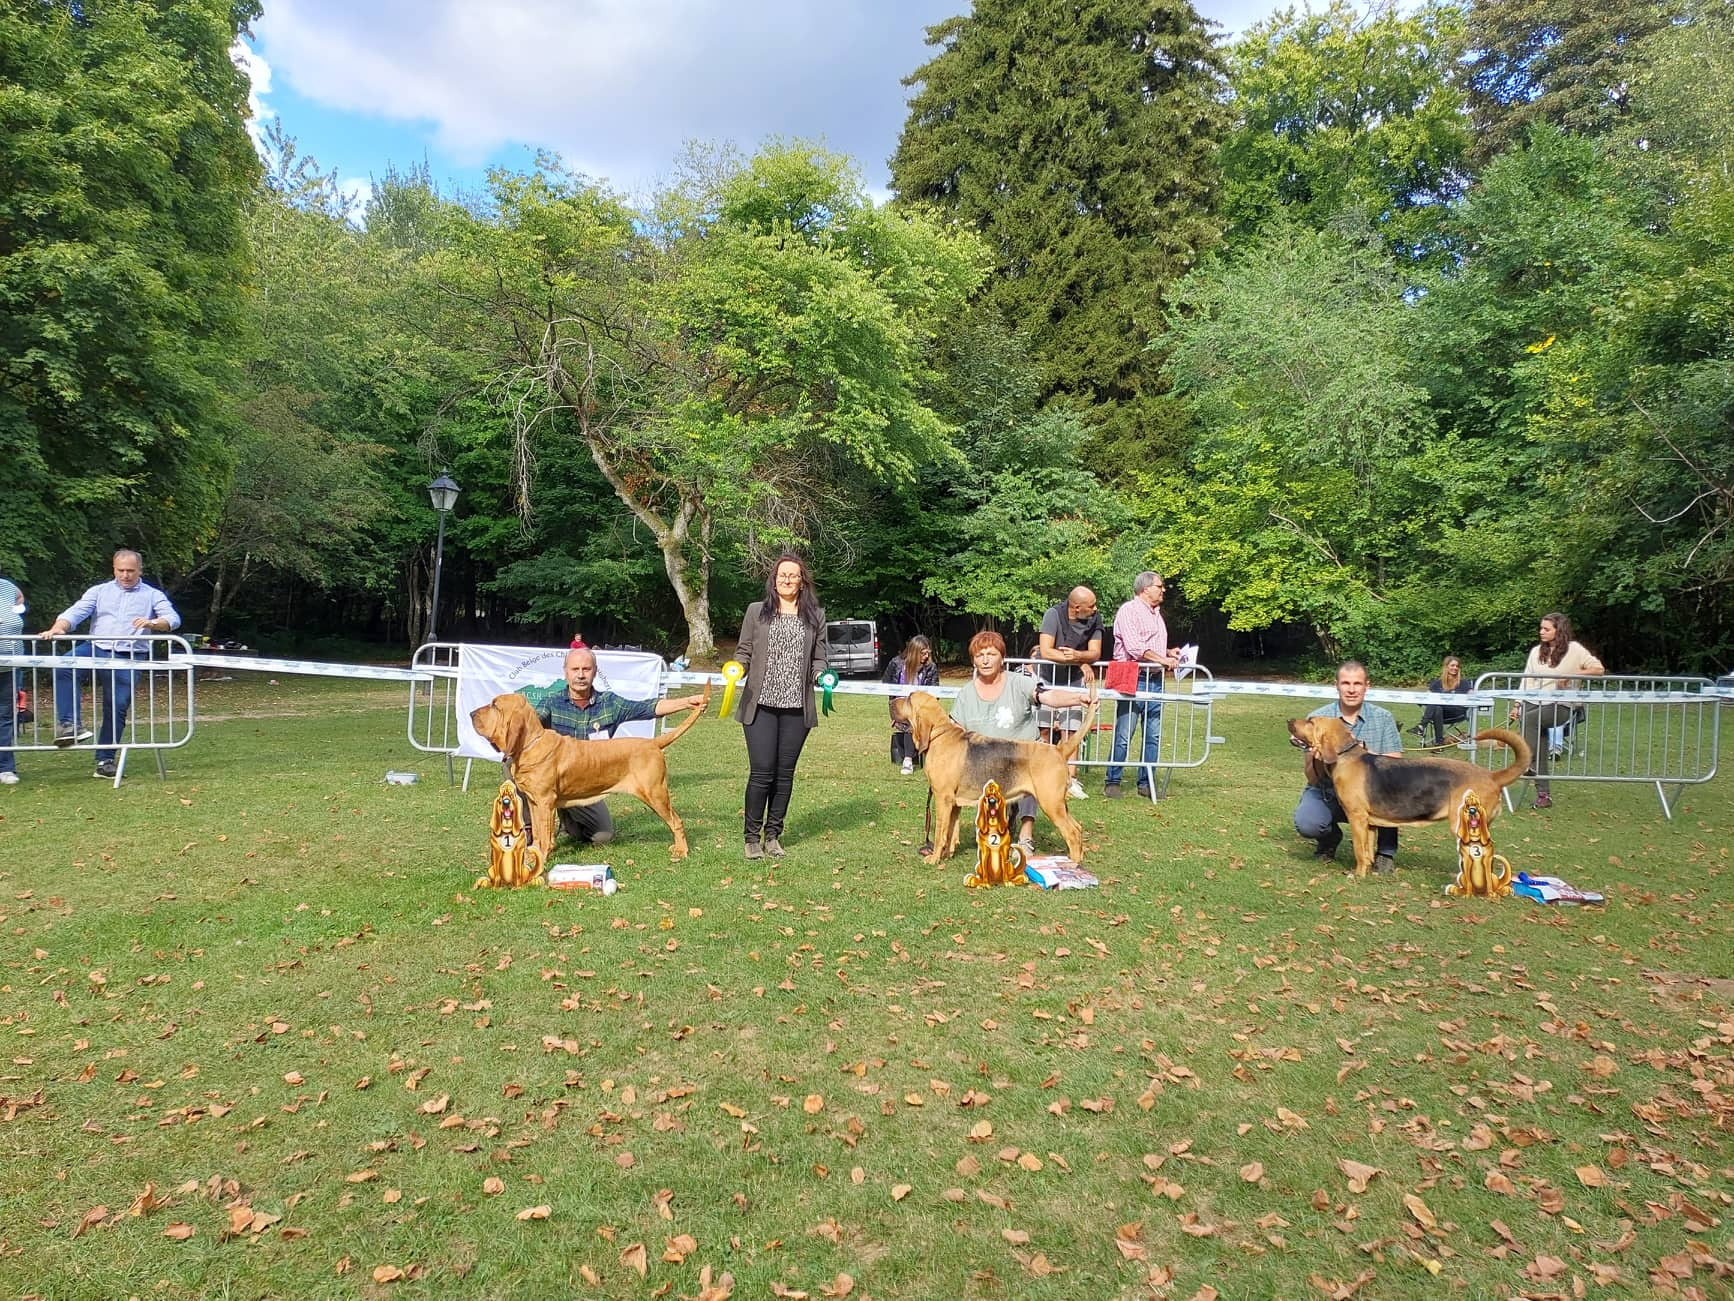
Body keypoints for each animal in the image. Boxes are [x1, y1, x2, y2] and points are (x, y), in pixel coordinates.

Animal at [894, 693, 1095, 867]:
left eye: (909, 698)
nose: (891, 702)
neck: (938, 735)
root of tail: (1059, 749)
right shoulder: (954, 803)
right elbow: (951, 831)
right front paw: (946, 855)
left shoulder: (942, 799)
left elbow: (939, 833)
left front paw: (934, 858)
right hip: (1059, 805)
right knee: (1077, 828)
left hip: (1051, 804)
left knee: (1071, 833)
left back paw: (1072, 864)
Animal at [1290, 718, 1532, 881]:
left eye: (1311, 722)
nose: (1289, 721)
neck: (1346, 756)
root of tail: (1492, 776)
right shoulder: (1368, 823)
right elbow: (1367, 851)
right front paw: (1367, 870)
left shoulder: (1357, 818)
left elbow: (1359, 850)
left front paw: (1357, 875)